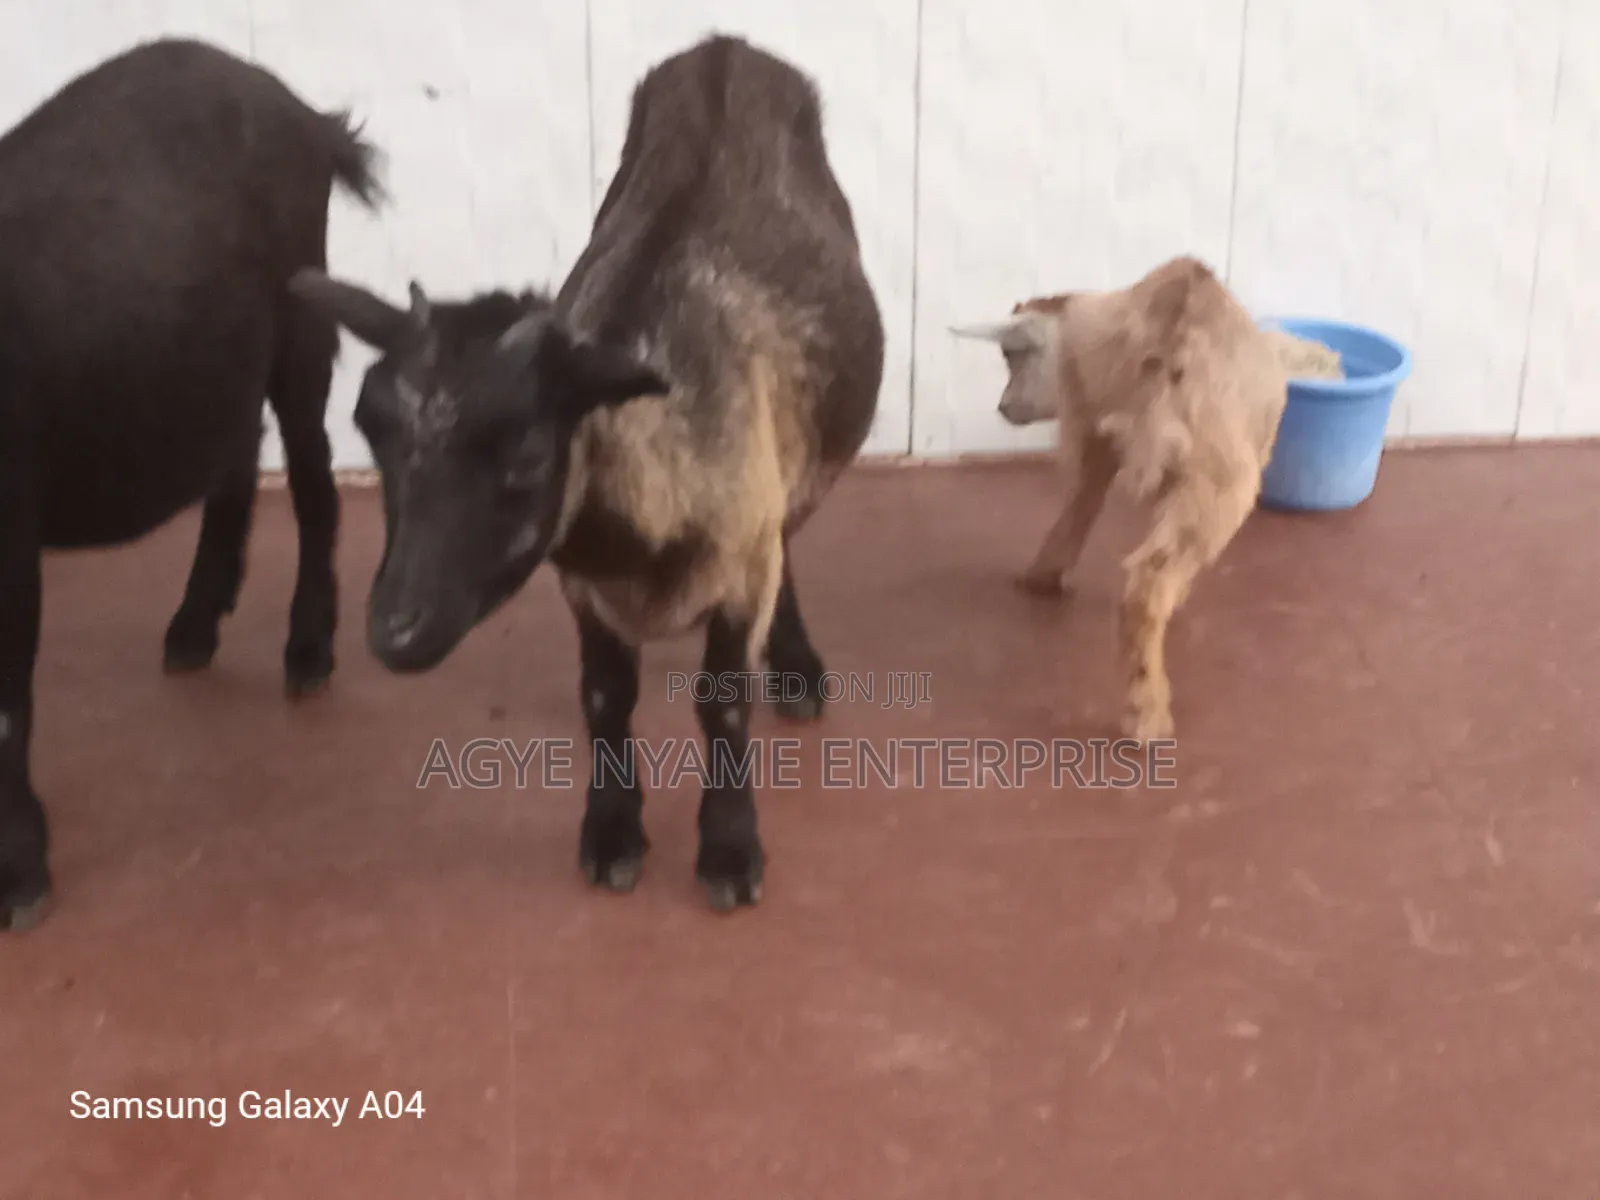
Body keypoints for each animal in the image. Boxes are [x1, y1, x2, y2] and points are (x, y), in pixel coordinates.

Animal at [0, 38, 384, 932]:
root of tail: (300, 112)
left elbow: (4, 711)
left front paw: (21, 872)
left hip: (299, 318)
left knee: (311, 478)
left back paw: (307, 647)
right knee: (237, 453)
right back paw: (197, 621)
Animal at [290, 33, 885, 912]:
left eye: (529, 451)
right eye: (372, 431)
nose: (392, 632)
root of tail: (724, 47)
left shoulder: (742, 560)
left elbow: (723, 703)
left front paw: (729, 848)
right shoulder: (584, 588)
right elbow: (605, 696)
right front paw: (611, 832)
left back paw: (798, 669)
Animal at [952, 255, 1287, 742]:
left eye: (1013, 357)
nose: (1003, 405)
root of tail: (1171, 341)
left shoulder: (1091, 420)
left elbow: (1084, 496)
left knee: (1092, 507)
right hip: (1222, 479)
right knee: (1146, 580)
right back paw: (1148, 715)